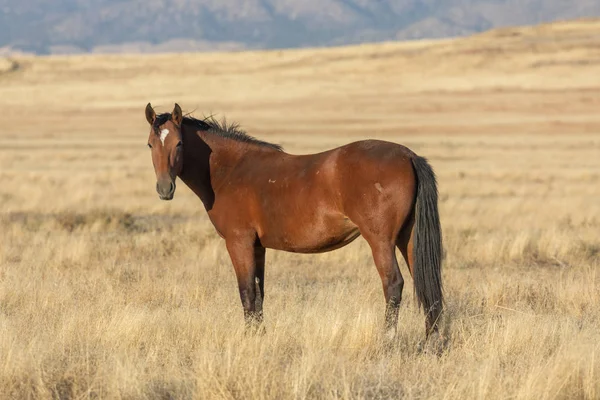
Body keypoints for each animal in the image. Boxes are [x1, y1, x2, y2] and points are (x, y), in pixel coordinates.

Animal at [144, 103, 446, 340]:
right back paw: (432, 343)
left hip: (381, 242)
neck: (230, 170)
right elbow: (259, 293)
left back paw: (388, 341)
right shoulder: (258, 247)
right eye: (150, 144)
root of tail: (409, 156)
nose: (164, 188)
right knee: (426, 286)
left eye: (179, 143)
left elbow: (246, 293)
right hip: (408, 239)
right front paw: (260, 336)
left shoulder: (239, 243)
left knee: (393, 284)